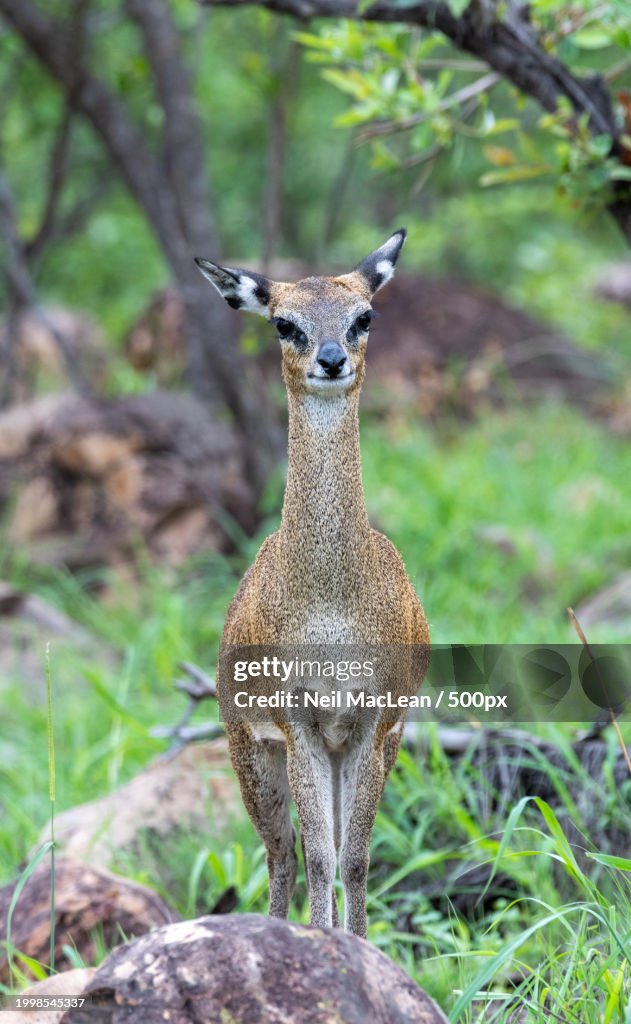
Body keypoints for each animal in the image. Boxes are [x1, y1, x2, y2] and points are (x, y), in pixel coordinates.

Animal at [195, 229, 429, 938]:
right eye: (283, 322)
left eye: (364, 316)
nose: (330, 359)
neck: (331, 601)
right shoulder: (297, 721)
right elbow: (320, 854)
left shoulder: (373, 721)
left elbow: (353, 856)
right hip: (252, 751)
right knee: (281, 853)